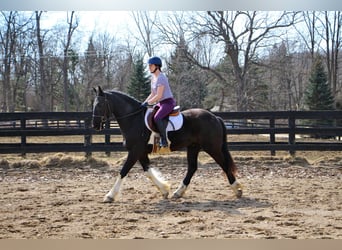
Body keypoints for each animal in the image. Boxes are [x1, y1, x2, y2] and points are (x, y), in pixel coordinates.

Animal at [93, 86, 243, 203]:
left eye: (99, 105)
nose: (95, 126)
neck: (134, 119)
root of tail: (214, 117)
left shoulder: (135, 151)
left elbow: (123, 171)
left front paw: (110, 196)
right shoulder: (140, 152)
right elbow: (148, 171)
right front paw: (164, 190)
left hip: (212, 148)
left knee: (224, 165)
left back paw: (237, 190)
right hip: (193, 148)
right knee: (192, 168)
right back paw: (178, 192)